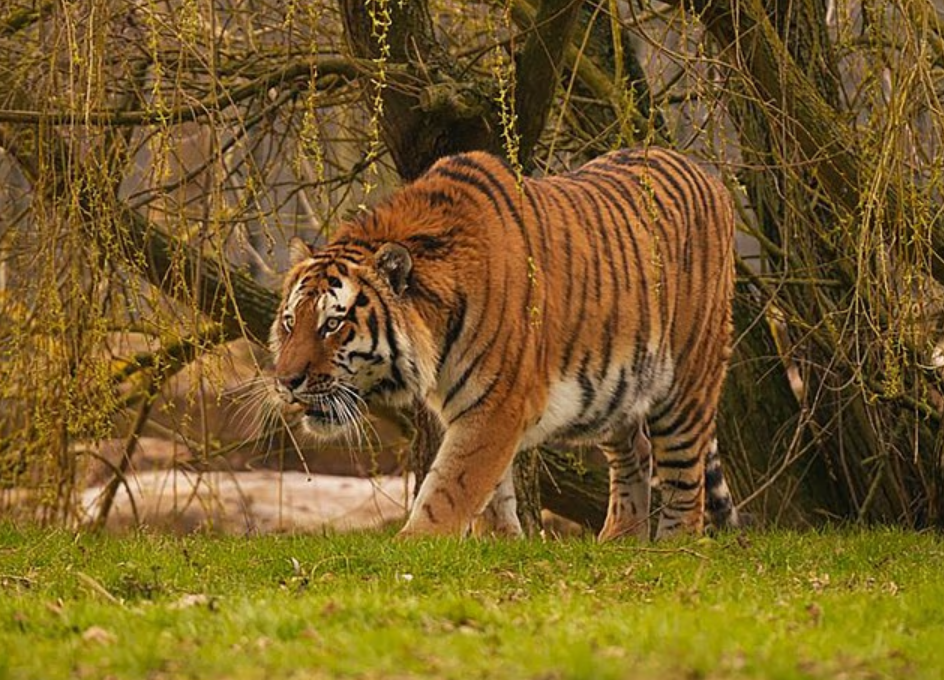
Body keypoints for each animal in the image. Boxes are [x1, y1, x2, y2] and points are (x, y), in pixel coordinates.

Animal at [271, 147, 740, 540]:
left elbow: (451, 485)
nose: (287, 382)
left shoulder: (498, 404)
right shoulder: (478, 407)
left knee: (685, 473)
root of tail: (708, 174)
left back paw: (674, 545)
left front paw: (415, 544)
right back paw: (618, 540)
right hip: (617, 391)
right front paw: (502, 542)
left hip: (687, 381)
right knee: (636, 451)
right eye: (291, 322)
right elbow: (492, 490)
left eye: (333, 325)